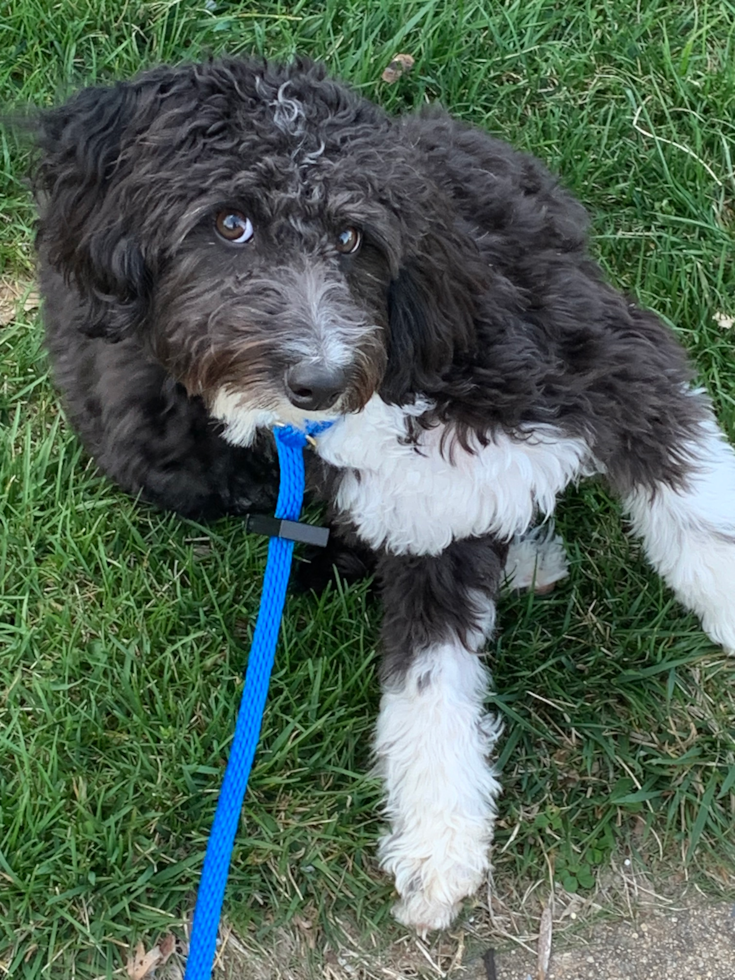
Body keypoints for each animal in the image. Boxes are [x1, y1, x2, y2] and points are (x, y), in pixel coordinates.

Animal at [31, 57, 735, 932]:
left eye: (351, 238)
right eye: (229, 224)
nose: (319, 379)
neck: (401, 379)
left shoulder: (622, 374)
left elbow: (700, 516)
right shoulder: (419, 533)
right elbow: (425, 688)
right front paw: (437, 841)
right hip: (147, 435)